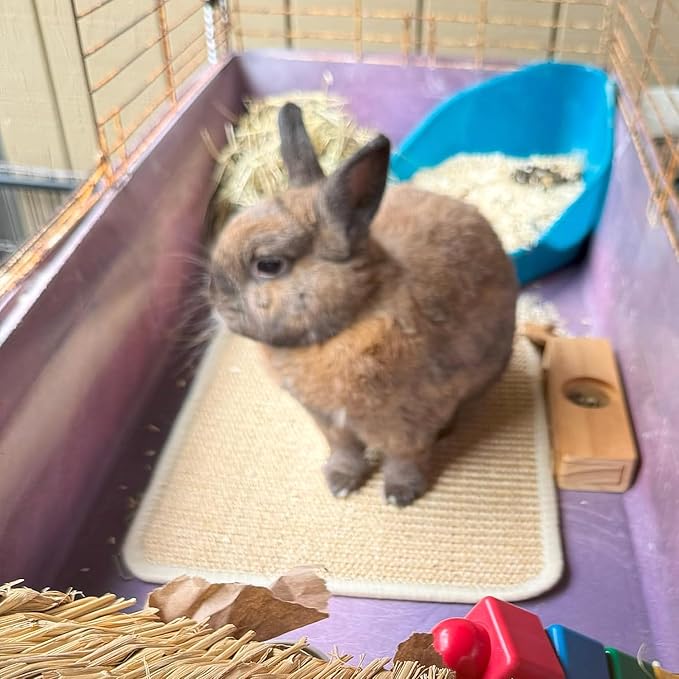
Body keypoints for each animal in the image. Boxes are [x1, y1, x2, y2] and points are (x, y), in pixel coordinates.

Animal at [208, 102, 519, 506]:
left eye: (269, 265)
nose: (214, 296)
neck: (350, 318)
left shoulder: (409, 423)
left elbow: (404, 458)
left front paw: (400, 495)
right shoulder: (331, 423)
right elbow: (345, 451)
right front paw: (340, 482)